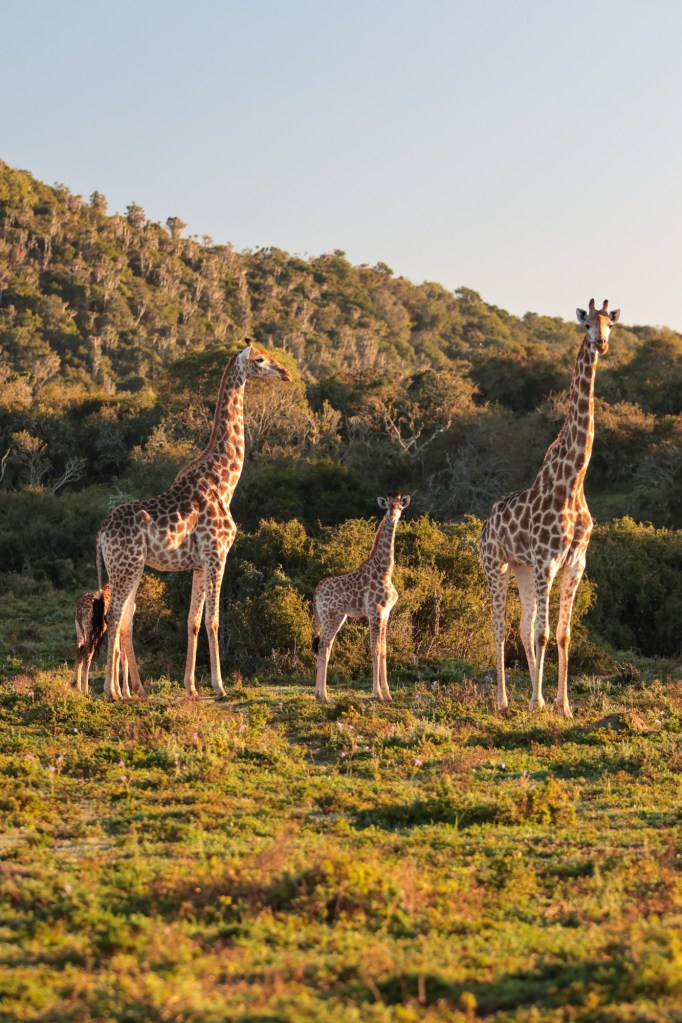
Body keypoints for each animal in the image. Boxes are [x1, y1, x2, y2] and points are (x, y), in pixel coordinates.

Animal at [96, 342, 292, 701]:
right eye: (259, 359)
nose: (285, 372)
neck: (223, 481)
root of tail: (101, 532)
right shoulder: (217, 555)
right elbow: (214, 620)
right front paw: (219, 686)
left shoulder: (199, 564)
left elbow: (193, 621)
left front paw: (190, 687)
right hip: (127, 566)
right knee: (114, 616)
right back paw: (111, 691)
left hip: (130, 568)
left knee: (124, 619)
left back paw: (129, 691)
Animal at [312, 494, 410, 704]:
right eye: (388, 507)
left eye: (399, 507)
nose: (393, 515)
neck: (385, 571)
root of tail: (316, 592)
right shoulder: (374, 612)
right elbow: (374, 650)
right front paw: (378, 694)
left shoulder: (386, 614)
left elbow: (384, 650)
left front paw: (388, 695)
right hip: (332, 616)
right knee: (323, 645)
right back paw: (324, 696)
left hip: (336, 617)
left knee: (326, 646)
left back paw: (319, 694)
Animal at [480, 299, 620, 719]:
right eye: (587, 323)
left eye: (611, 324)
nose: (601, 343)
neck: (572, 482)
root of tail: (485, 525)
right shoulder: (547, 561)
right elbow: (543, 633)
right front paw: (538, 701)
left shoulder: (575, 563)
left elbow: (561, 633)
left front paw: (563, 705)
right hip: (496, 565)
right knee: (499, 627)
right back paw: (505, 700)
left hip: (522, 569)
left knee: (522, 628)